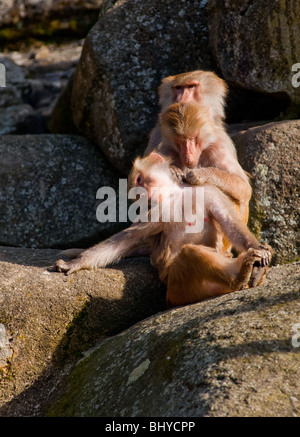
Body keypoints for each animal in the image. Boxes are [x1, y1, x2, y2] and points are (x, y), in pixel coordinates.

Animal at [55, 153, 274, 306]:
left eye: (139, 180)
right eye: (137, 190)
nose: (144, 193)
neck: (177, 193)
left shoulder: (208, 191)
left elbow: (229, 222)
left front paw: (260, 249)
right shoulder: (157, 212)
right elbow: (123, 241)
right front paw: (76, 263)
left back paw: (249, 272)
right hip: (178, 285)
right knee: (189, 254)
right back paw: (238, 277)